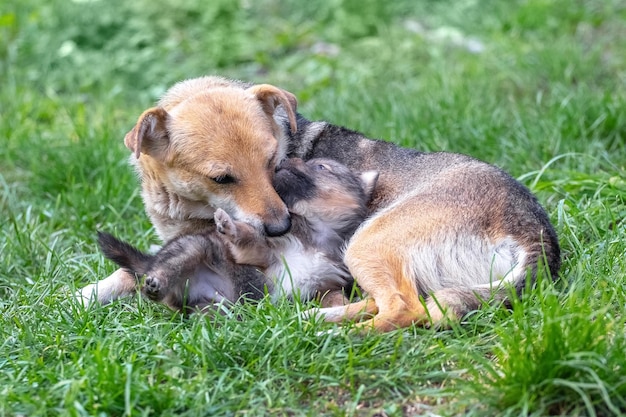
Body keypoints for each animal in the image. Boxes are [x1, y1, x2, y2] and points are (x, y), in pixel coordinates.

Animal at [95, 158, 372, 310]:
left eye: (321, 167)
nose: (283, 161)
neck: (315, 236)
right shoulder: (264, 252)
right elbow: (248, 237)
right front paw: (228, 224)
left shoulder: (323, 286)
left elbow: (333, 296)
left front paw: (344, 308)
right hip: (193, 247)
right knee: (168, 267)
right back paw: (156, 284)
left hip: (212, 308)